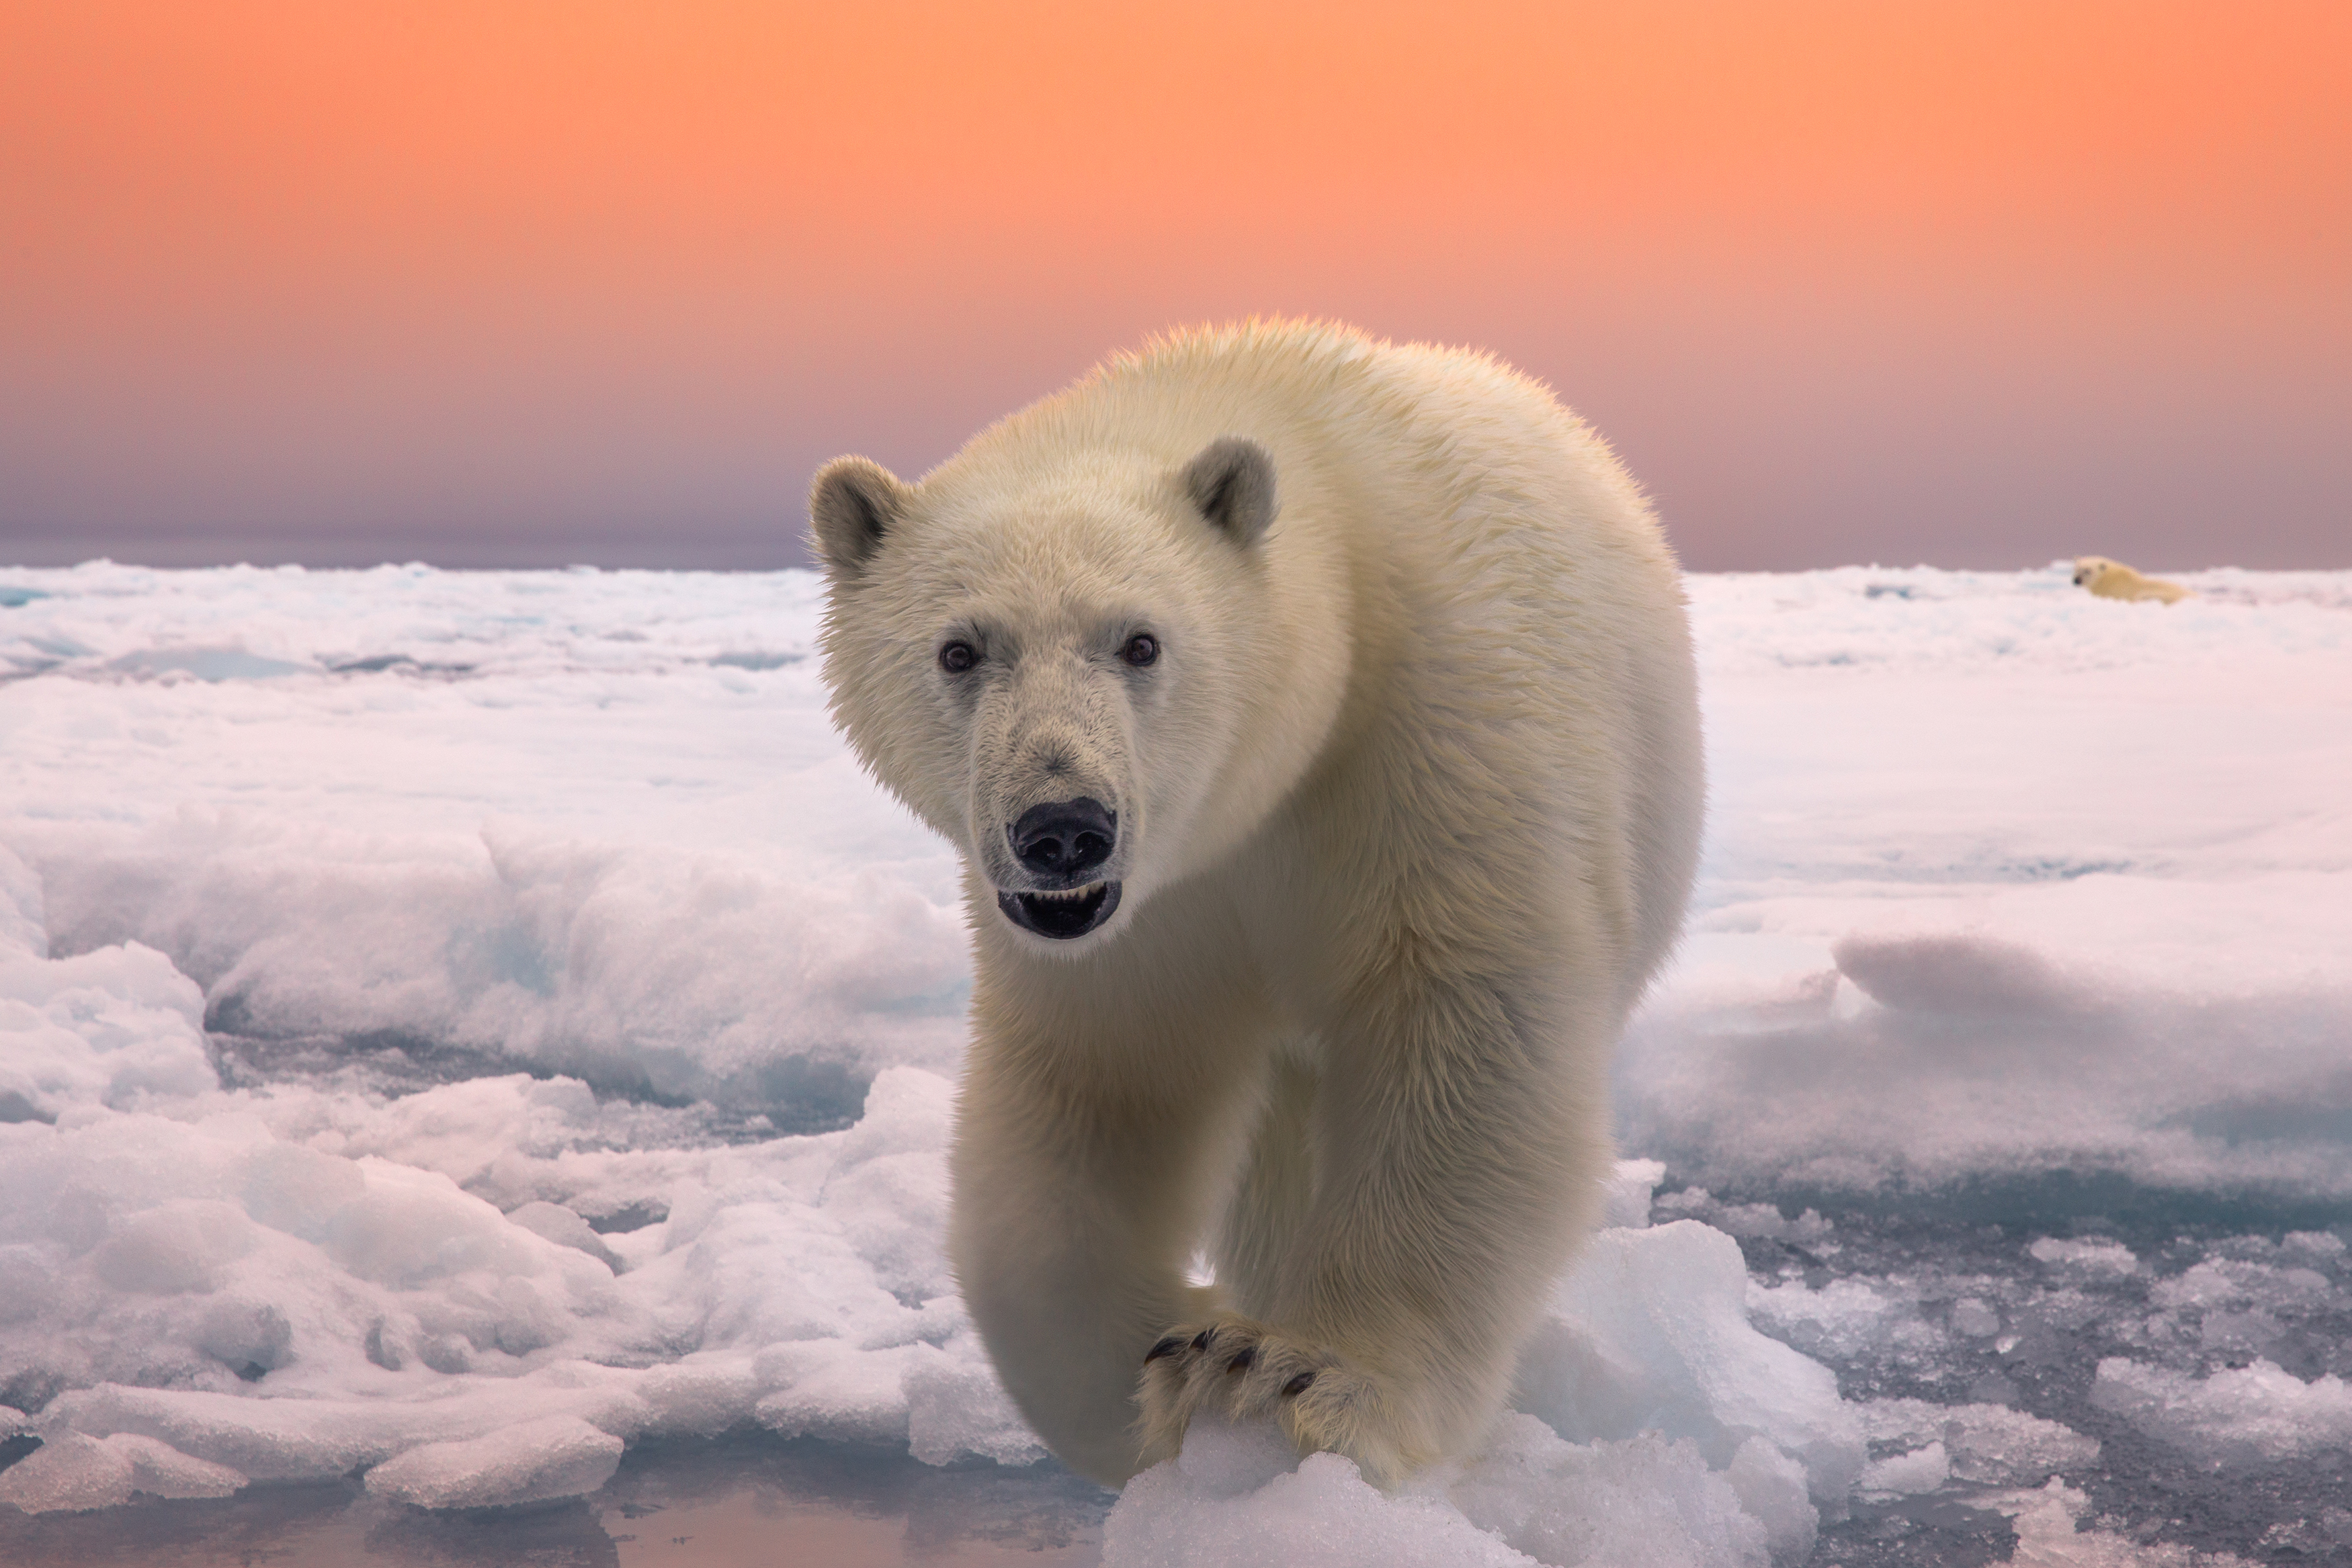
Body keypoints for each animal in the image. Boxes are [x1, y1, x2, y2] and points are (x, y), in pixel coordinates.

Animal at [814, 314, 1712, 1485]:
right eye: (960, 648)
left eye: (1140, 640)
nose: (1063, 827)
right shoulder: (1150, 916)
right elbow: (1102, 1088)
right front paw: (1155, 1369)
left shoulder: (1438, 745)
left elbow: (1465, 1039)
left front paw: (1294, 1370)